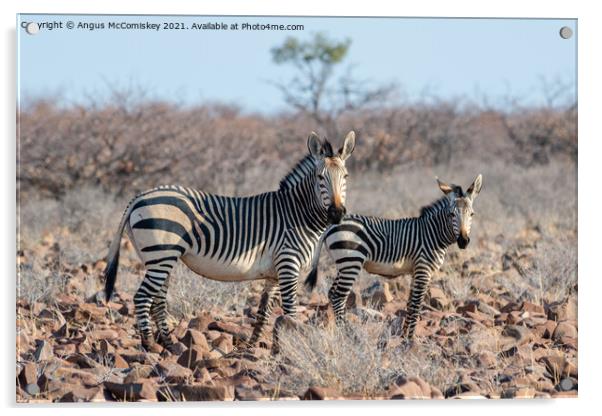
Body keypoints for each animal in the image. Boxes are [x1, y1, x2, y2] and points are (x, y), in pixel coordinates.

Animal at [104, 132, 356, 352]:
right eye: (320, 177)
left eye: (346, 177)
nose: (337, 214)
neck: (298, 214)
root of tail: (139, 196)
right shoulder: (288, 265)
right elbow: (290, 313)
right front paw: (290, 349)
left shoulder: (274, 274)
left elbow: (264, 312)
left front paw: (254, 347)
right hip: (161, 254)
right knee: (142, 297)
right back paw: (149, 345)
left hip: (158, 258)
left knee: (157, 299)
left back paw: (169, 344)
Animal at [302, 174, 480, 340]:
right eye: (451, 215)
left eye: (472, 214)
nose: (463, 241)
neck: (433, 234)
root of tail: (331, 225)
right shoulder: (423, 269)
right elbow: (416, 304)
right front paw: (410, 339)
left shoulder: (416, 271)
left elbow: (410, 303)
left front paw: (404, 335)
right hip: (351, 262)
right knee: (338, 296)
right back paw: (347, 333)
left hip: (344, 264)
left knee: (332, 293)